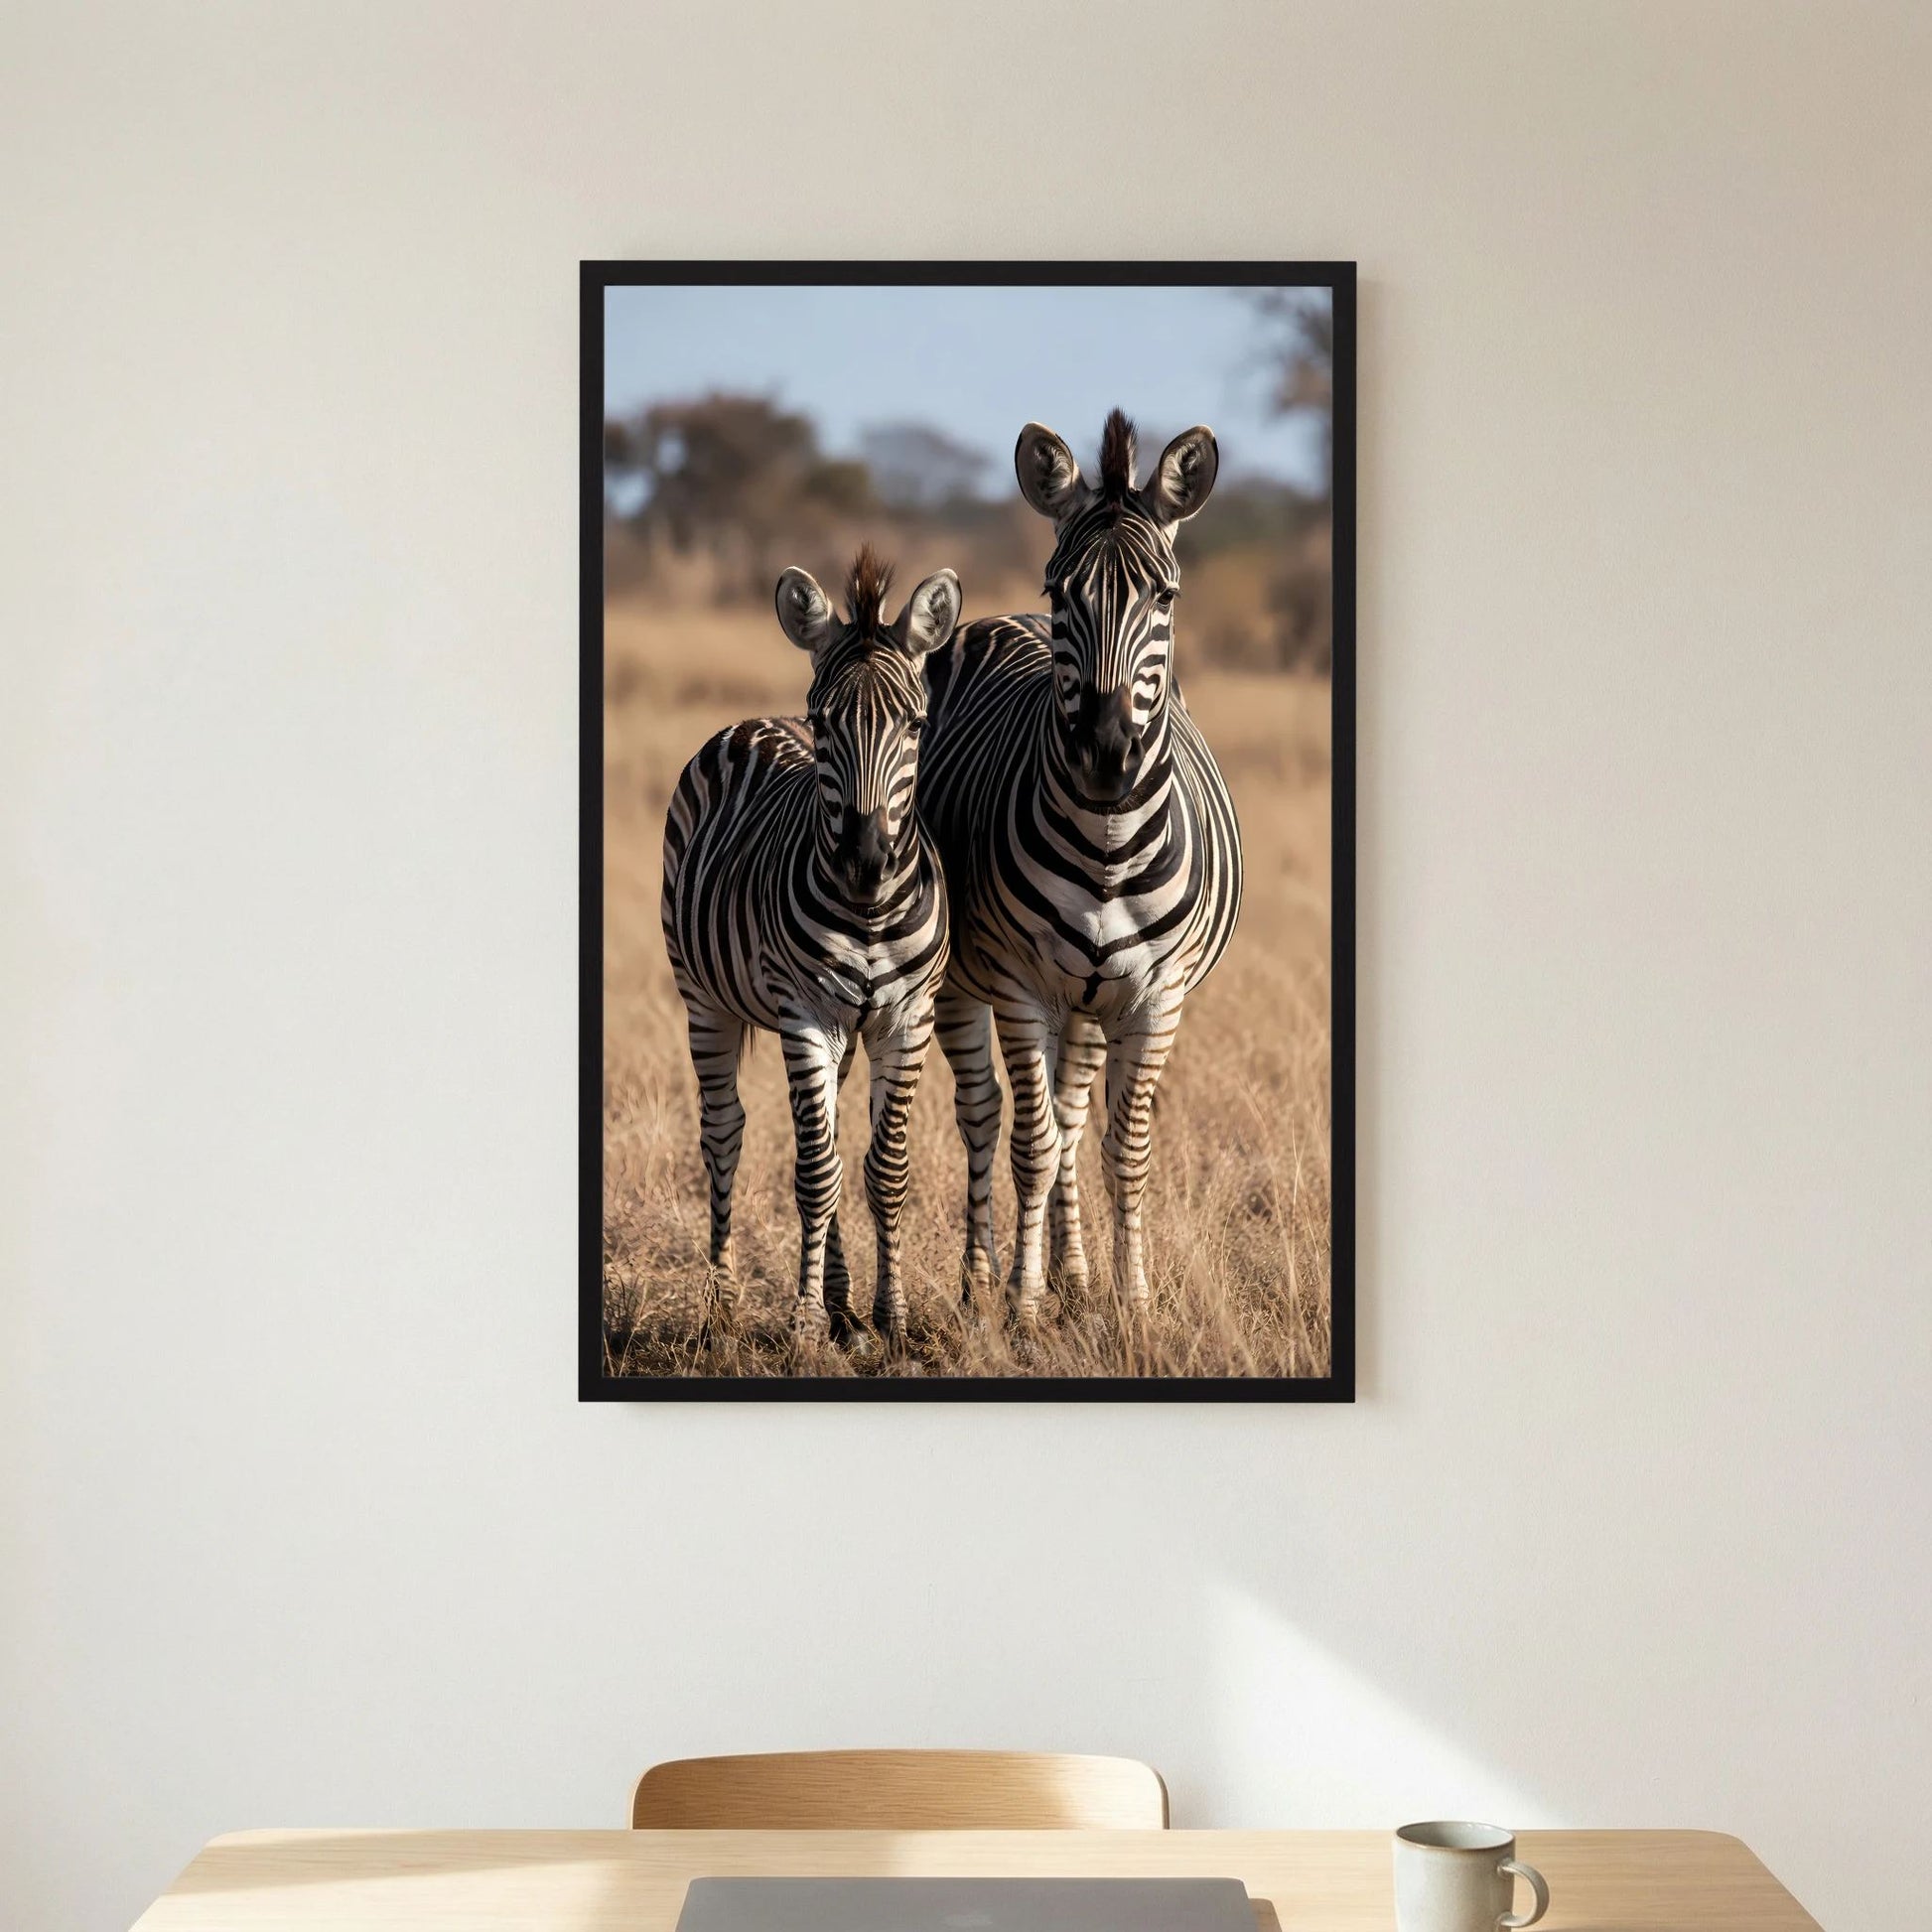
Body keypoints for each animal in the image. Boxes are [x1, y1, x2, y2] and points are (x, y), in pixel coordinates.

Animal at [662, 546, 961, 1349]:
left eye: (916, 724)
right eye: (826, 725)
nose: (865, 858)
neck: (869, 913)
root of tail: (754, 722)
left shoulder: (907, 1019)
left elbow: (882, 1169)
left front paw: (888, 1317)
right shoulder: (804, 1016)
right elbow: (815, 1174)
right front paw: (799, 1320)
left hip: (847, 1033)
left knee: (828, 1138)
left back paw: (844, 1306)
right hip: (703, 998)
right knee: (724, 1133)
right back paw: (723, 1305)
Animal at [919, 409, 1242, 1322]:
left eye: (1164, 597)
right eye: (1061, 592)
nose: (1105, 752)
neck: (1106, 843)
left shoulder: (1156, 998)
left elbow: (1120, 1147)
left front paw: (1130, 1299)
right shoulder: (1020, 985)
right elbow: (1029, 1142)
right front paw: (1022, 1307)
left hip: (1092, 1002)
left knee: (1069, 1114)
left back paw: (1077, 1274)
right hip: (968, 983)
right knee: (986, 1115)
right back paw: (983, 1280)